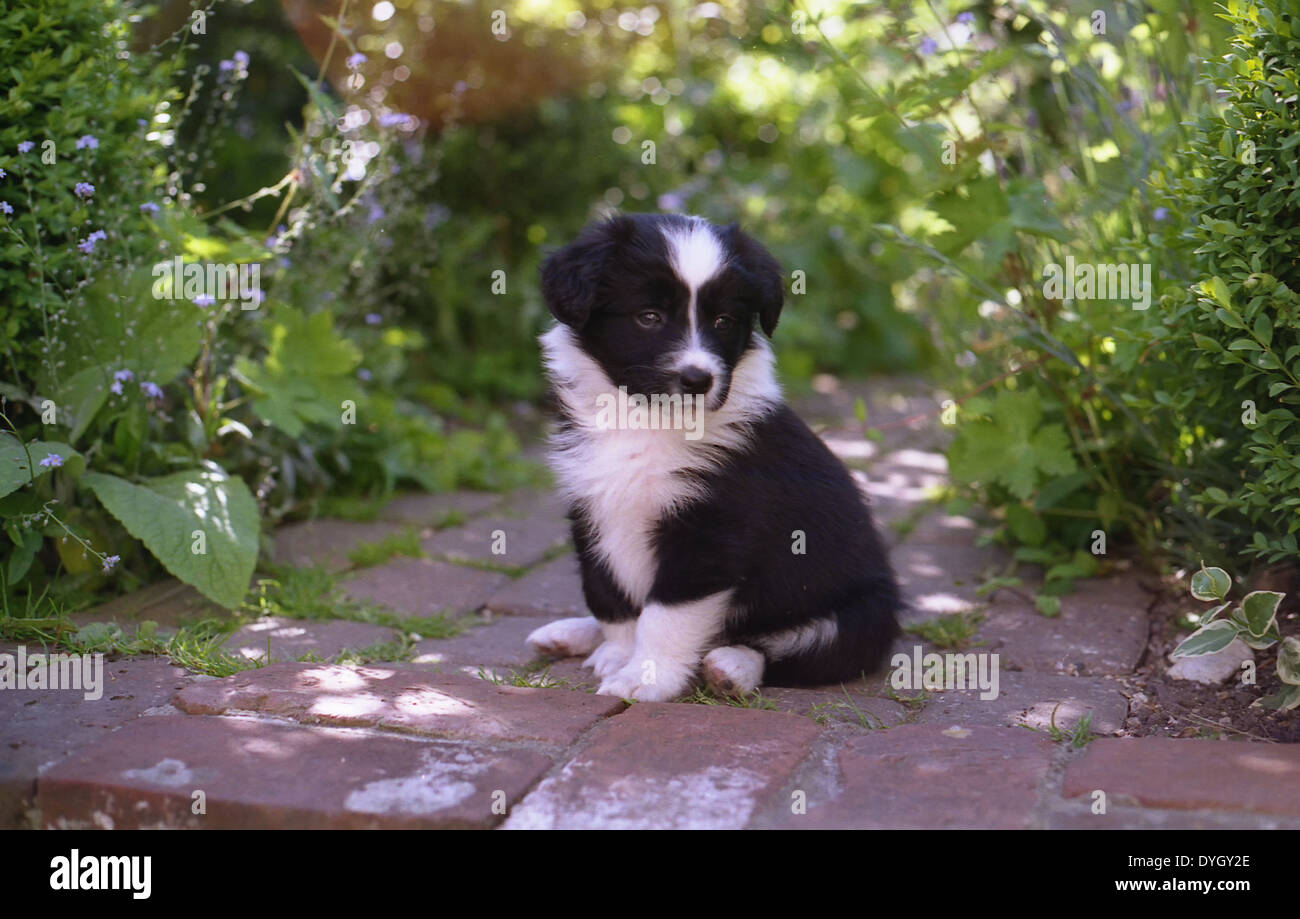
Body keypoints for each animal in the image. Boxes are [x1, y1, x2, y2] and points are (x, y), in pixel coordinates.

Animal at [522, 215, 899, 701]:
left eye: (723, 321)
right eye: (649, 317)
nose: (698, 380)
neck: (644, 420)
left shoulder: (710, 529)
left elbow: (665, 615)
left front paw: (644, 678)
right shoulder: (593, 509)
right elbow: (610, 598)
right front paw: (618, 654)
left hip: (864, 614)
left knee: (791, 650)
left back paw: (731, 667)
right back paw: (567, 634)